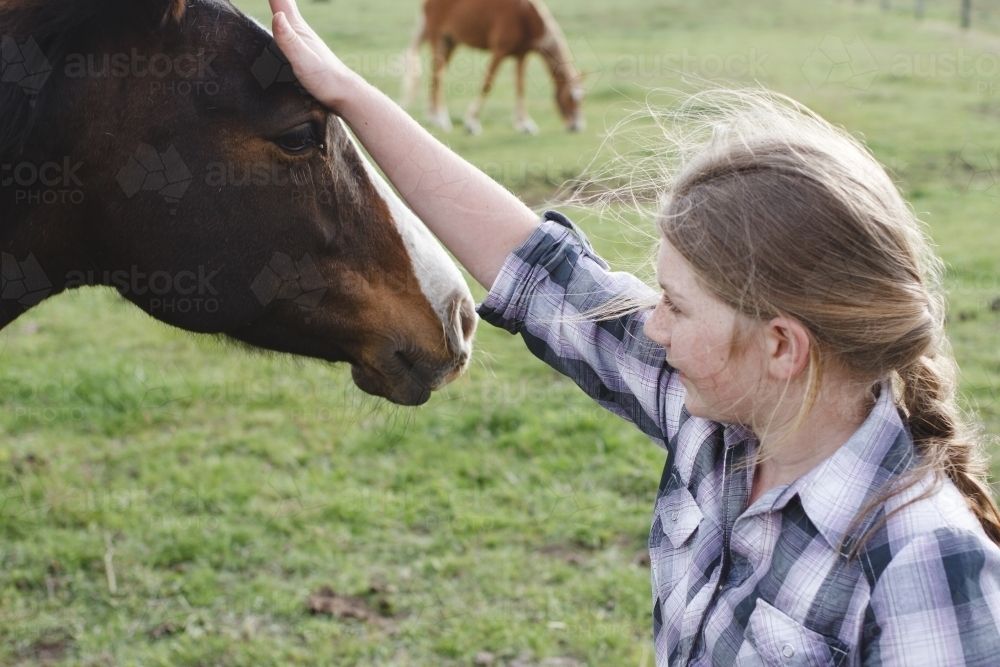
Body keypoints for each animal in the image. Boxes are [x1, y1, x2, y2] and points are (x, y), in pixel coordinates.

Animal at [400, 0, 584, 134]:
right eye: (569, 98)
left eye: (581, 99)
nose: (577, 126)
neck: (525, 17)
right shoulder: (499, 52)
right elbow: (487, 84)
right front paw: (471, 122)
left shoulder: (521, 56)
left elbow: (520, 88)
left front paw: (524, 123)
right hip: (438, 38)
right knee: (437, 76)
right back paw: (441, 119)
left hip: (451, 41)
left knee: (436, 74)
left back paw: (433, 116)